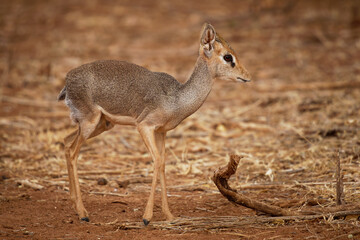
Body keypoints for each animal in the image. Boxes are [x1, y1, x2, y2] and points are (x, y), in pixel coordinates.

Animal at [58, 23, 250, 225]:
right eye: (228, 56)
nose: (247, 76)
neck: (177, 98)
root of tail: (68, 80)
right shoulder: (144, 126)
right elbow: (157, 160)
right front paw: (146, 218)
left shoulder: (161, 132)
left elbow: (163, 163)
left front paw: (169, 215)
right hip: (90, 123)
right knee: (73, 153)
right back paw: (83, 213)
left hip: (101, 125)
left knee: (66, 142)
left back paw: (75, 204)